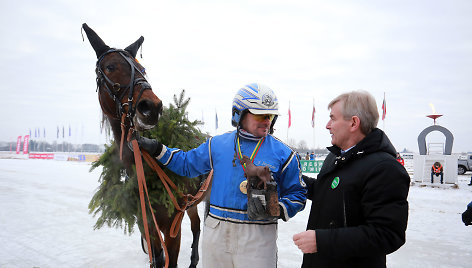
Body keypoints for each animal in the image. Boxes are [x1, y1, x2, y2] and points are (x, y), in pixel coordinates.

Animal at [82, 23, 206, 268]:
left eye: (142, 69)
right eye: (110, 66)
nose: (152, 106)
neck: (149, 175)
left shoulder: (172, 227)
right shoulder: (146, 225)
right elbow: (157, 258)